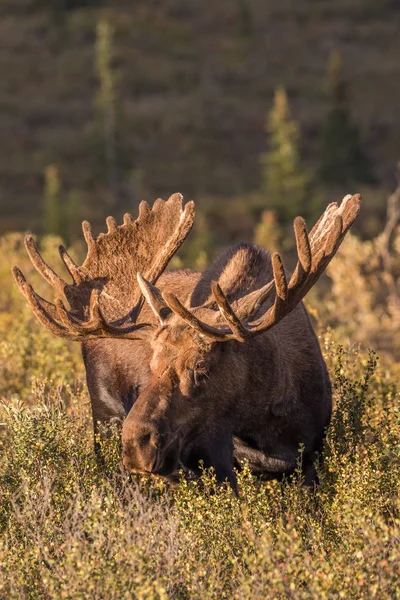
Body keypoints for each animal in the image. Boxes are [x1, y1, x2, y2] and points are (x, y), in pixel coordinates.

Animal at [14, 192, 360, 488]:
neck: (264, 422)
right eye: (151, 364)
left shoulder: (311, 459)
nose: (136, 444)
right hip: (104, 420)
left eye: (201, 366)